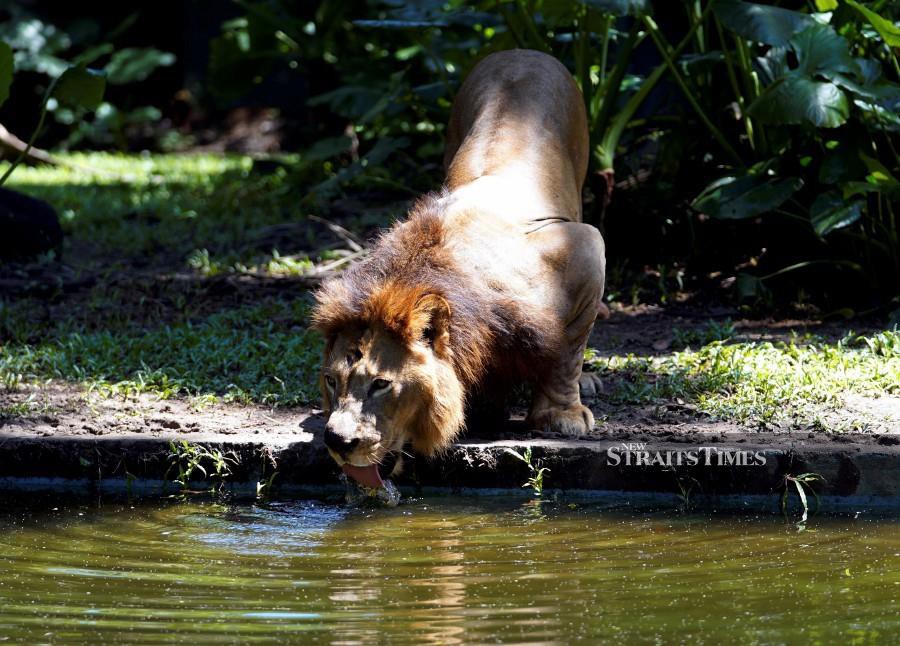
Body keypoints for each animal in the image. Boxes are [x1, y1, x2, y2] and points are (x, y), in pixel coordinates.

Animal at [312, 49, 608, 486]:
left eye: (381, 384)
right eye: (332, 380)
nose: (337, 441)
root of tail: (520, 51)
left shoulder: (585, 249)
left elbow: (565, 353)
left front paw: (561, 415)